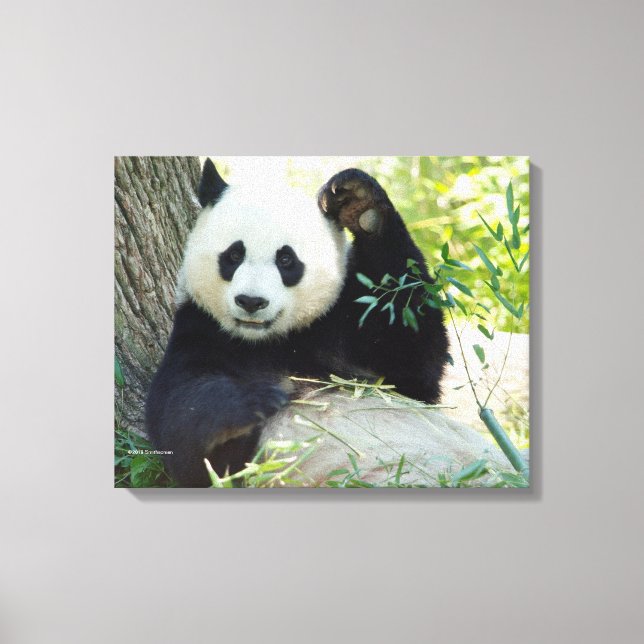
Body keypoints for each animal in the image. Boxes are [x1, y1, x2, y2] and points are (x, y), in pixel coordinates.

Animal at [145, 159, 449, 487]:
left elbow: (413, 354)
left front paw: (359, 202)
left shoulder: (343, 326)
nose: (251, 301)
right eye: (234, 255)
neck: (273, 340)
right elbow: (182, 428)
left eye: (286, 260)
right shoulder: (202, 332)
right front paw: (256, 401)